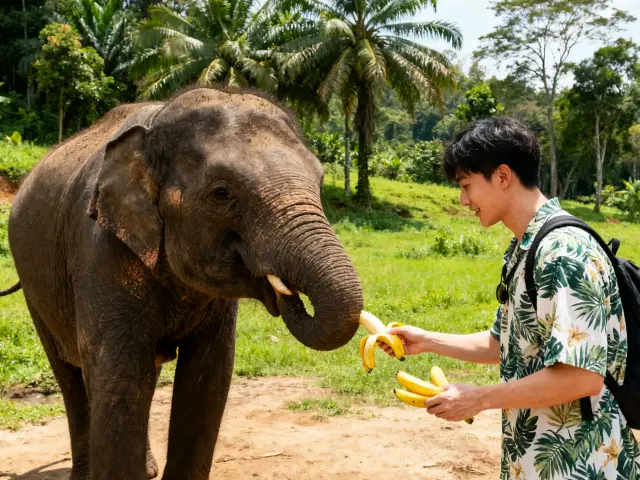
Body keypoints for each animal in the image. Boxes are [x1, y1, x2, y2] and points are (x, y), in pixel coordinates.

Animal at [2, 88, 364, 479]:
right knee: (70, 372)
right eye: (221, 193)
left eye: (319, 182)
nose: (291, 296)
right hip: (34, 282)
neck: (157, 122)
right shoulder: (99, 249)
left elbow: (208, 377)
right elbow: (118, 374)